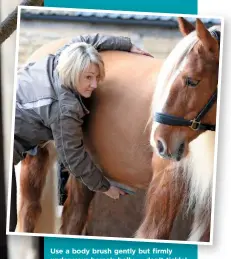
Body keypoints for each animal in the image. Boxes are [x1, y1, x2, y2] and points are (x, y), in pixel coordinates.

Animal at [13, 17, 219, 243]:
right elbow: (154, 233)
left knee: (73, 217)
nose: (160, 143)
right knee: (29, 211)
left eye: (192, 80)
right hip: (36, 158)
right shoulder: (167, 179)